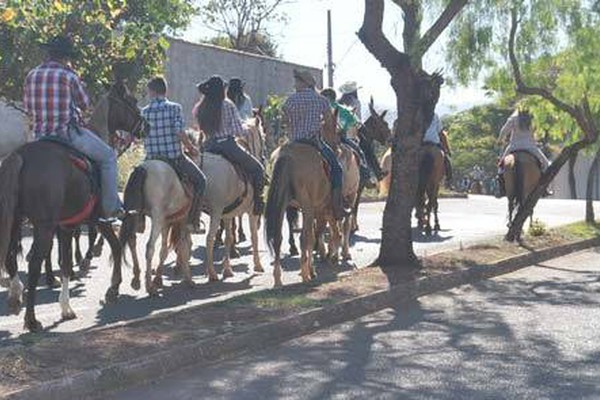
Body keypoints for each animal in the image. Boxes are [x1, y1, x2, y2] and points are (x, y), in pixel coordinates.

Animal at [0, 81, 146, 332]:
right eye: (132, 101)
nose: (145, 126)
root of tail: (19, 156)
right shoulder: (100, 219)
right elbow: (116, 247)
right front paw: (113, 287)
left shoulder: (66, 227)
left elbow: (66, 263)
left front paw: (66, 308)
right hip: (43, 225)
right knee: (34, 262)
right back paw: (31, 319)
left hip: (16, 219)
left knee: (11, 255)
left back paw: (16, 295)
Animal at [120, 160, 196, 296]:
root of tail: (142, 169)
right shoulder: (182, 220)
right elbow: (183, 247)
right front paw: (188, 279)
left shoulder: (166, 223)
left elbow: (164, 250)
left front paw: (159, 279)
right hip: (157, 218)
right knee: (150, 247)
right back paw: (149, 287)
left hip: (135, 214)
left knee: (132, 240)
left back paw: (136, 279)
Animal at [197, 119, 264, 282]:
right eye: (263, 137)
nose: (263, 157)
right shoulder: (252, 211)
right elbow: (254, 235)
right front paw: (257, 265)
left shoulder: (227, 214)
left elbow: (229, 237)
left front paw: (227, 269)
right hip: (215, 212)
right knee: (208, 238)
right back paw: (211, 273)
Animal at [264, 108, 340, 286]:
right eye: (337, 130)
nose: (336, 147)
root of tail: (286, 156)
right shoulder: (319, 208)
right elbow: (314, 235)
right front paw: (311, 270)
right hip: (307, 206)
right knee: (305, 237)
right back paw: (305, 275)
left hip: (281, 205)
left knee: (278, 237)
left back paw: (277, 279)